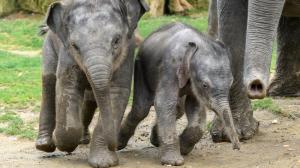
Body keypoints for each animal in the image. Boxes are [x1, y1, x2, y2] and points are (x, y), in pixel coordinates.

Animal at [35, 0, 148, 167]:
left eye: (116, 40)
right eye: (75, 46)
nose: (116, 145)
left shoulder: (128, 49)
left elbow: (117, 92)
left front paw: (105, 162)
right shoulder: (66, 51)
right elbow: (68, 87)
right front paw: (63, 143)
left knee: (89, 98)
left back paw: (83, 140)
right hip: (49, 45)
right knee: (49, 83)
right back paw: (45, 145)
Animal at [118, 23, 240, 166]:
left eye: (231, 83)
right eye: (205, 85)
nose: (236, 148)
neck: (198, 43)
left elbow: (194, 105)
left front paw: (183, 149)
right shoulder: (170, 66)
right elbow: (164, 102)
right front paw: (175, 161)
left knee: (178, 109)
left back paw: (155, 141)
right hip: (140, 67)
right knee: (141, 109)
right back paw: (120, 144)